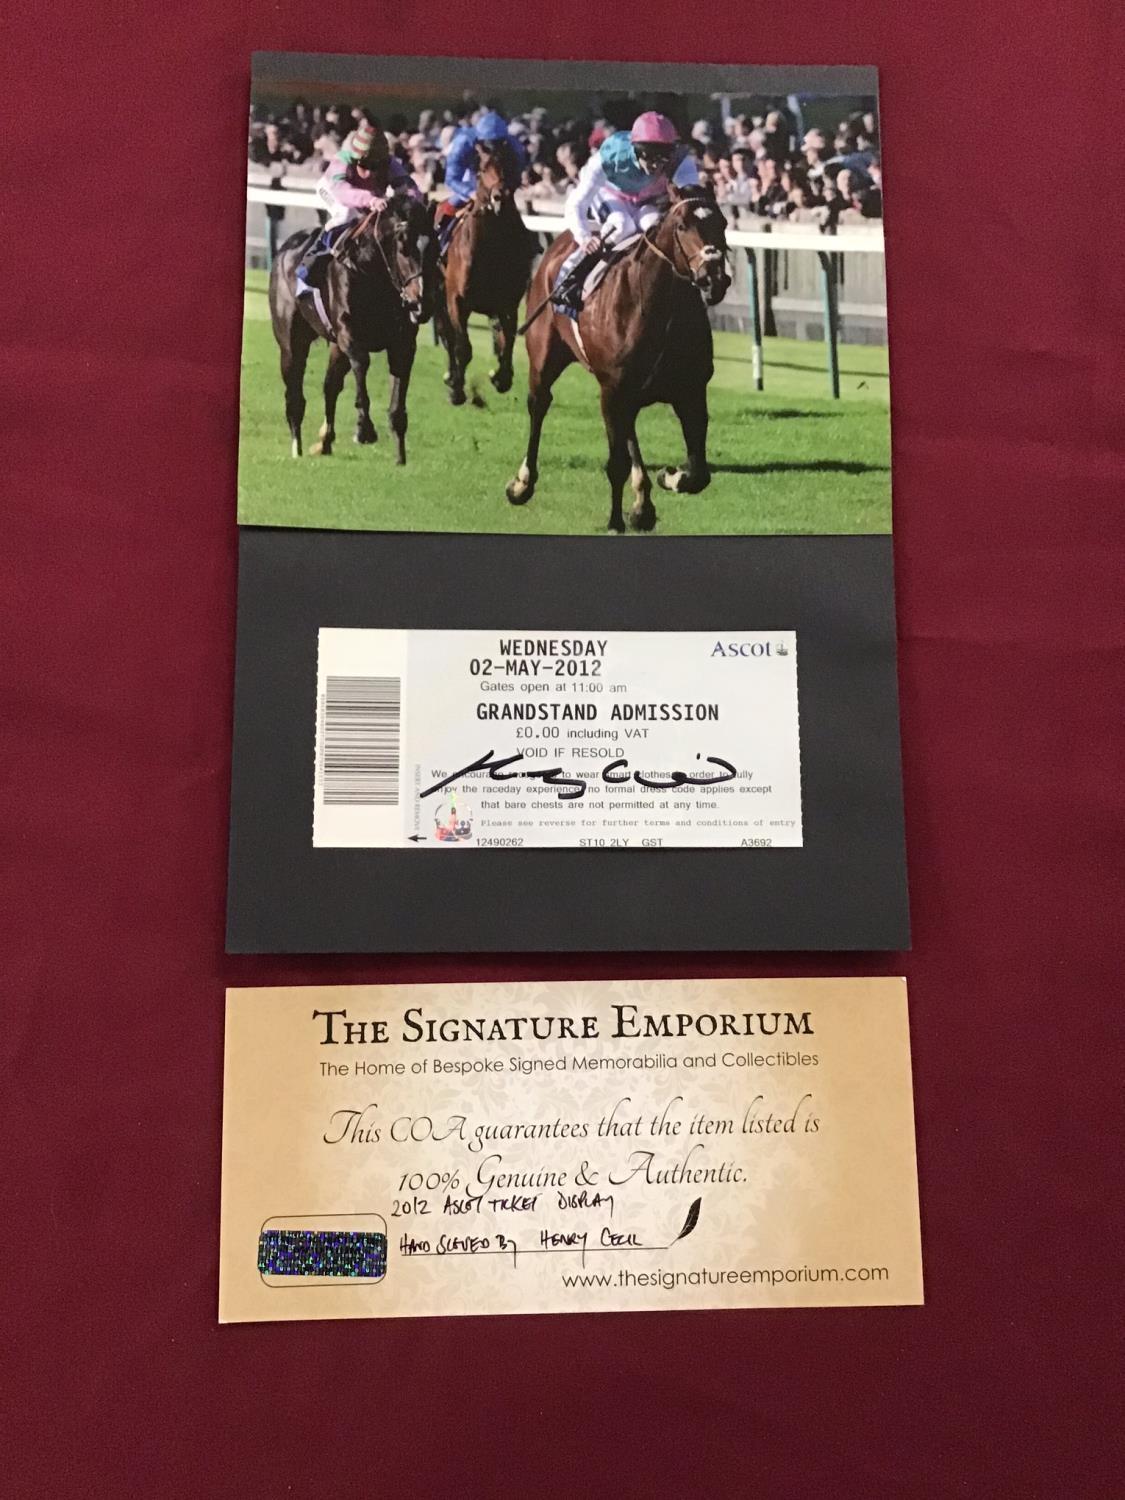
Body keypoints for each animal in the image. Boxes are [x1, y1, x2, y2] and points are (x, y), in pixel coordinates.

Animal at [435, 144, 537, 405]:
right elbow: (462, 346)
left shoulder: (508, 303)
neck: (491, 249)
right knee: (448, 336)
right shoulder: (456, 300)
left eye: (508, 165)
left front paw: (502, 378)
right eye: (481, 169)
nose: (500, 196)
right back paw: (450, 376)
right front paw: (457, 389)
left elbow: (507, 341)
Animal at [507, 184, 735, 534]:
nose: (714, 277)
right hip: (545, 357)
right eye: (683, 225)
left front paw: (670, 477)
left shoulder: (691, 391)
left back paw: (643, 504)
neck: (657, 307)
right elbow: (616, 464)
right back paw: (522, 483)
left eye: (722, 223)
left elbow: (699, 473)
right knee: (539, 404)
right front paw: (615, 521)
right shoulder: (612, 389)